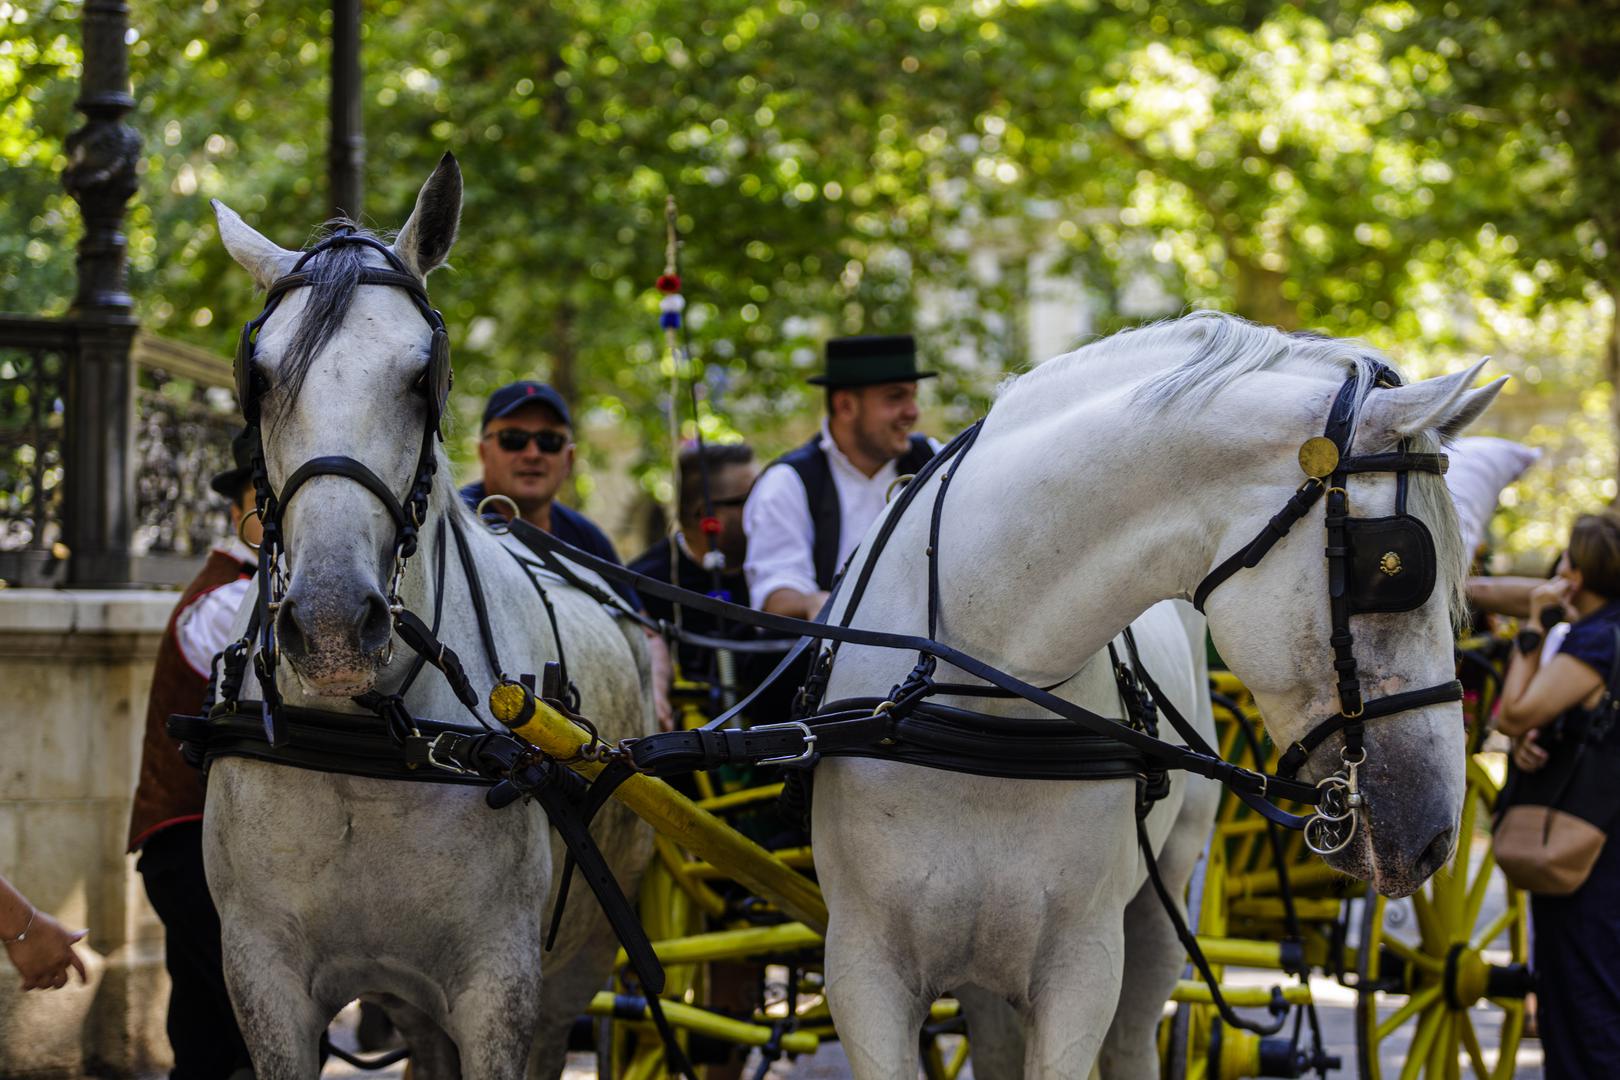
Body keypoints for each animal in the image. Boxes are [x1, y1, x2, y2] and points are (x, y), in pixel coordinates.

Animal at [207, 153, 651, 1080]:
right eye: (257, 379)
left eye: (424, 378)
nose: (331, 625)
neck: (365, 745)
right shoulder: (263, 979)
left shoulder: (499, 988)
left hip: (580, 956)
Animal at [816, 307, 1496, 1075]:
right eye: (1397, 564)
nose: (1439, 840)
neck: (975, 702)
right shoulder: (861, 967)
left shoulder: (1084, 963)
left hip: (1162, 898)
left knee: (1133, 1039)